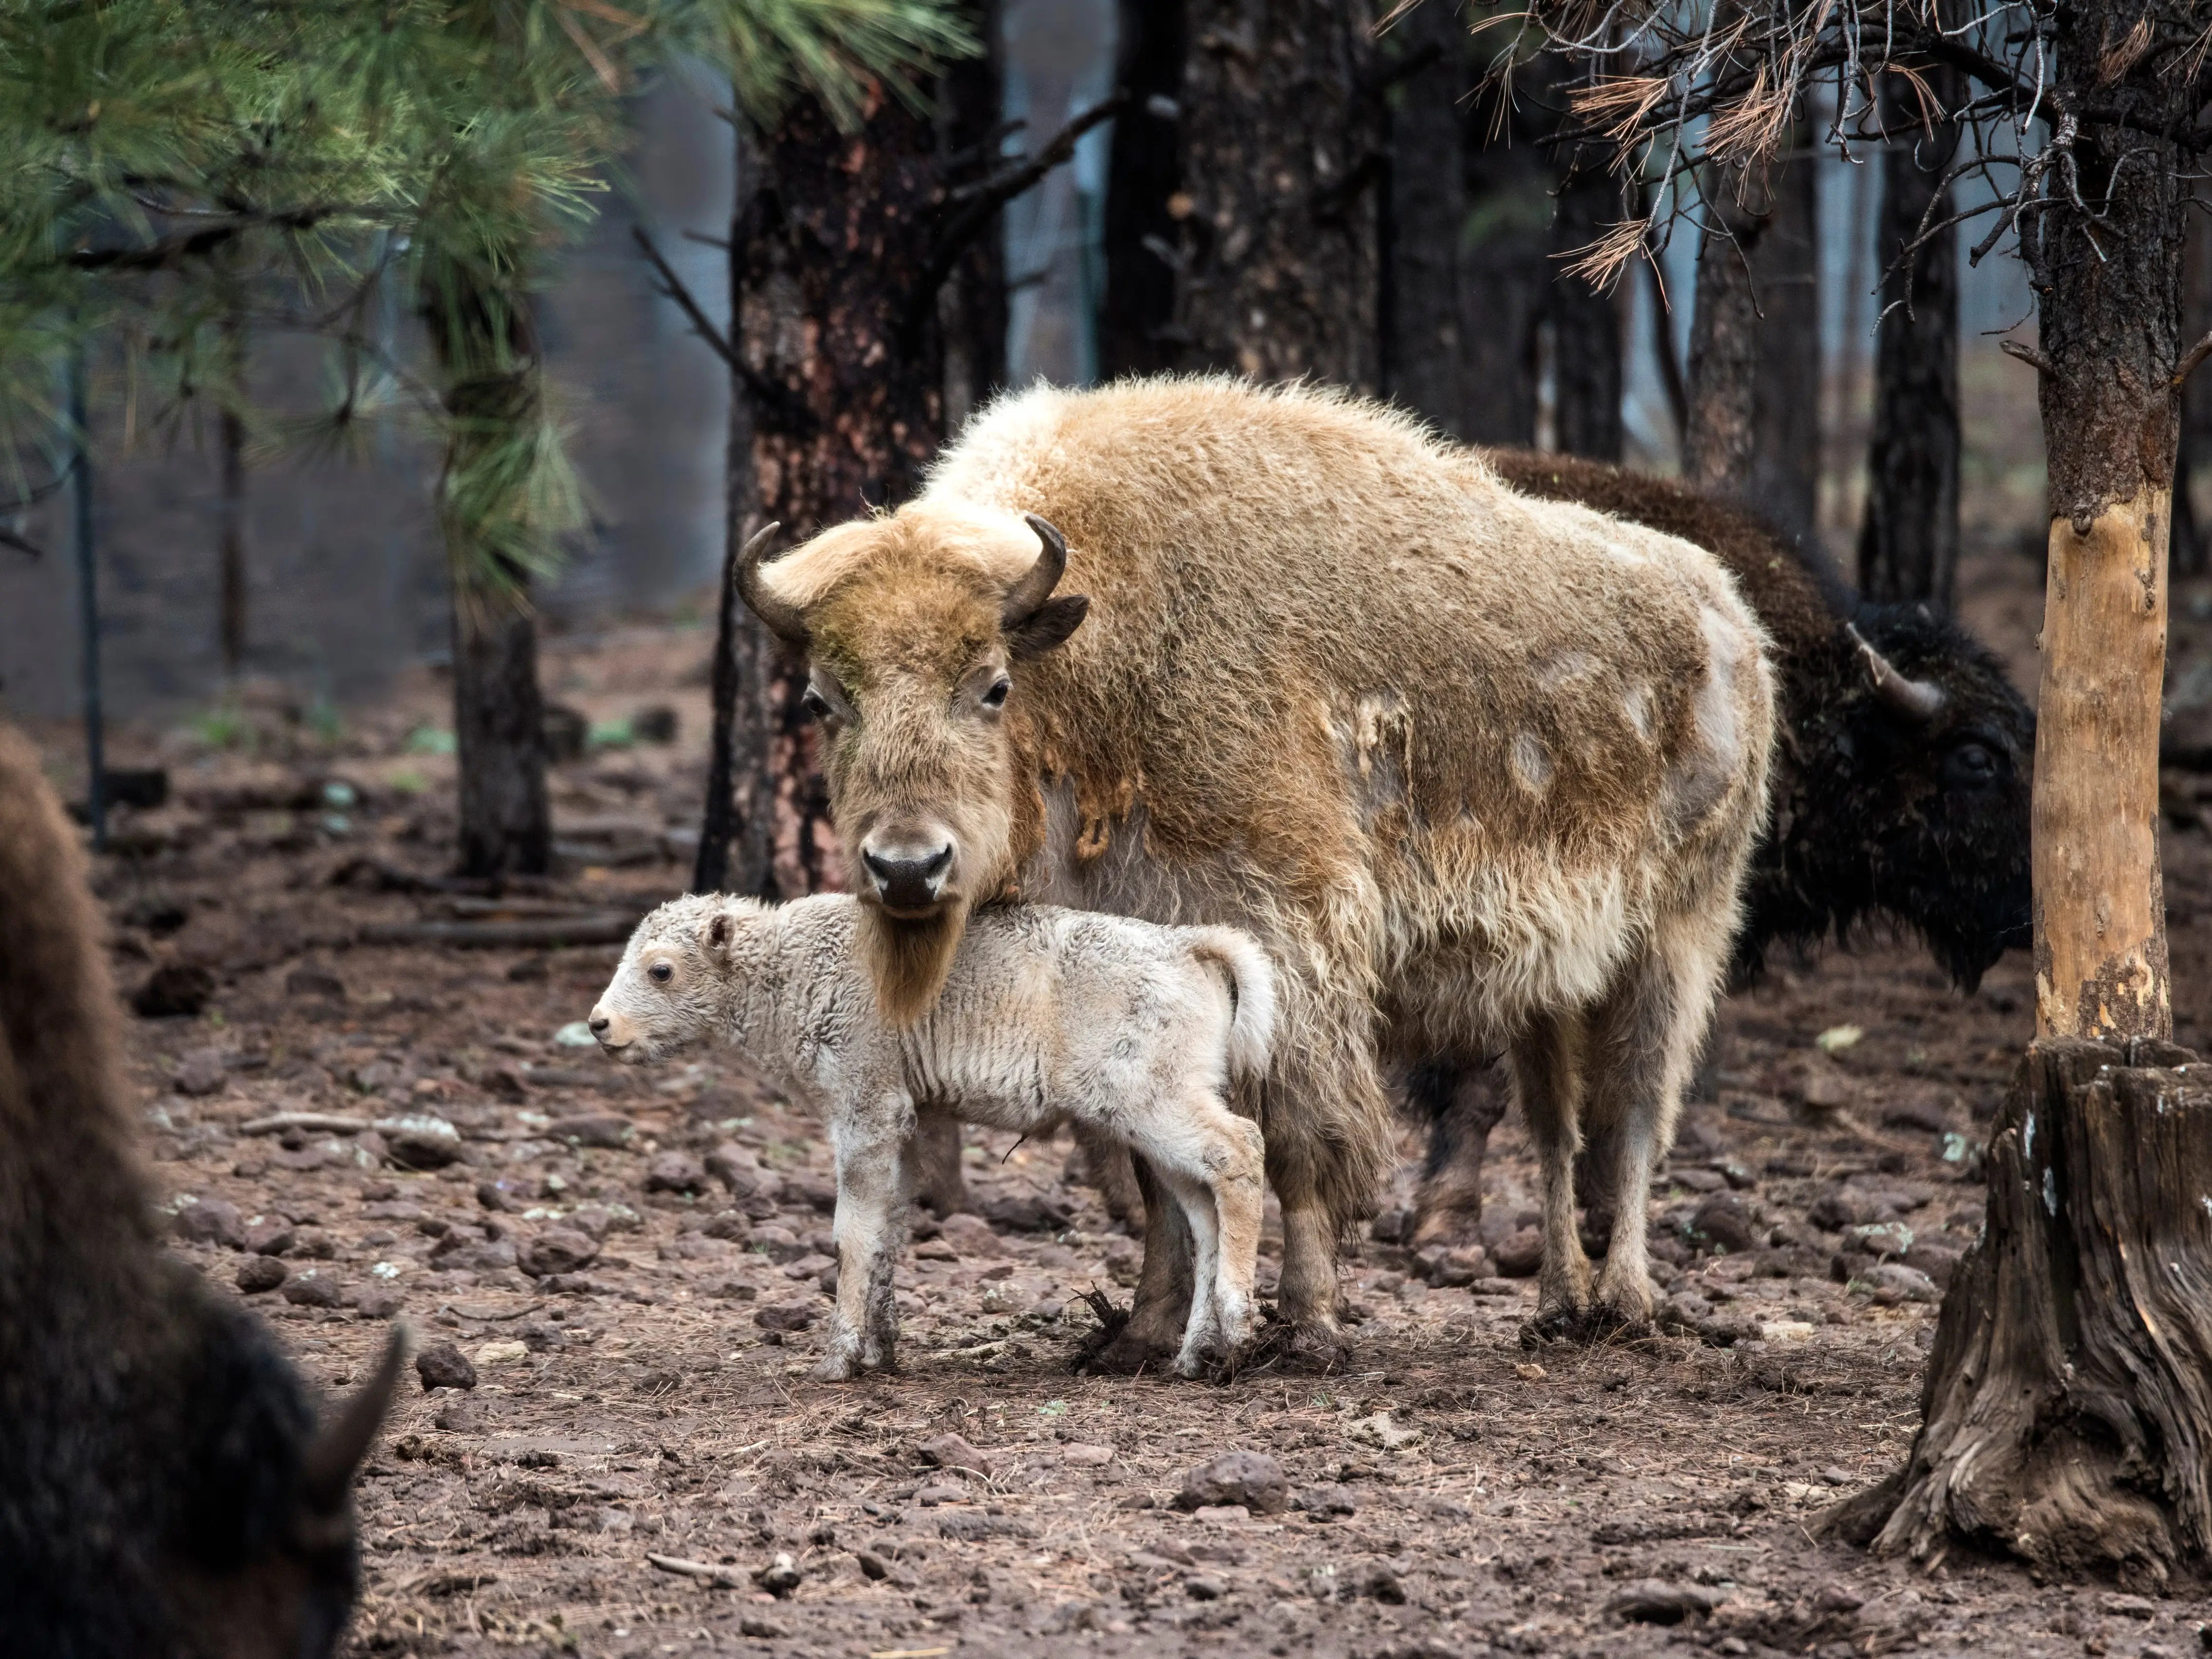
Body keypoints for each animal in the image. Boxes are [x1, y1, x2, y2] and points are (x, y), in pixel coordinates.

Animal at [734, 376, 1775, 1356]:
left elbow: (1298, 1145)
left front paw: (1306, 1327)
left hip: (1674, 940)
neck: (1101, 655)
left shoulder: (1295, 946)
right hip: (1548, 987)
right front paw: (1142, 1335)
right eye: (824, 700)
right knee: (1558, 1131)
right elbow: (1155, 1172)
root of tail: (1728, 617)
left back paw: (1627, 1304)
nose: (907, 868)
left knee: (1634, 1115)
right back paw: (1559, 1306)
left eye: (991, 686)